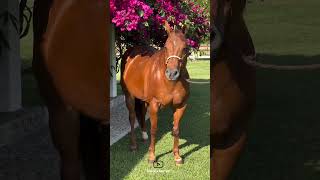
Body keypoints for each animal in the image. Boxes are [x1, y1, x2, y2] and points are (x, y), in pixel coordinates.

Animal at [120, 20, 190, 165]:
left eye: (185, 48)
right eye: (166, 46)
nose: (172, 73)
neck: (169, 83)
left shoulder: (180, 106)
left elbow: (176, 130)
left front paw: (177, 156)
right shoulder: (154, 105)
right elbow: (154, 130)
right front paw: (152, 156)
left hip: (143, 99)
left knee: (141, 113)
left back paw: (143, 135)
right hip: (129, 96)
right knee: (132, 117)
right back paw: (133, 145)